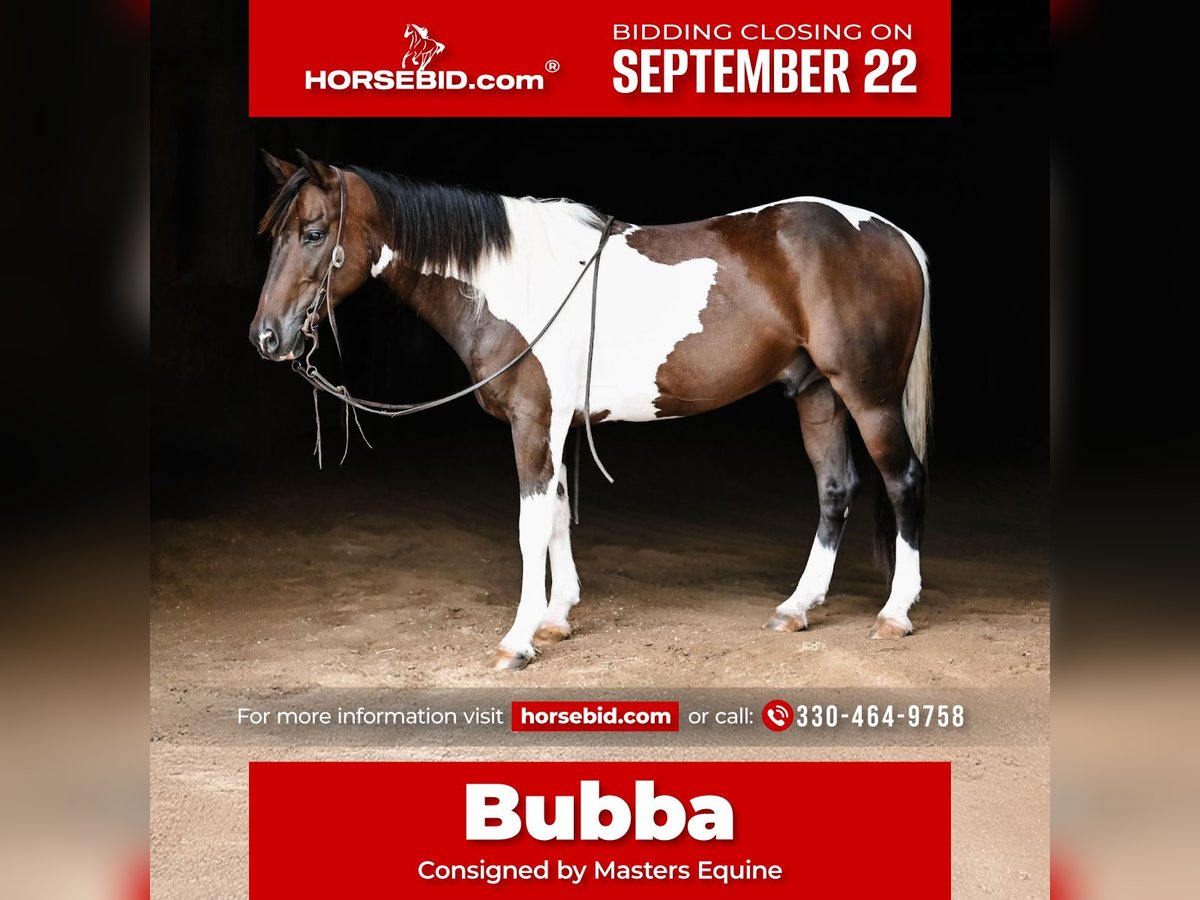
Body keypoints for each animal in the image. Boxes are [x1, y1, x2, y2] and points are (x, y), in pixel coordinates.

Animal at [250, 151, 932, 671]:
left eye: (313, 234)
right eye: (275, 235)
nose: (266, 337)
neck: (511, 279)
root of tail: (894, 235)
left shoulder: (533, 421)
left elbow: (531, 524)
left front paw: (518, 641)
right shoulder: (552, 427)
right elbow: (556, 513)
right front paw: (556, 618)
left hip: (867, 396)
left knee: (903, 480)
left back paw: (895, 613)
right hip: (818, 394)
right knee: (835, 488)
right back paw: (798, 606)